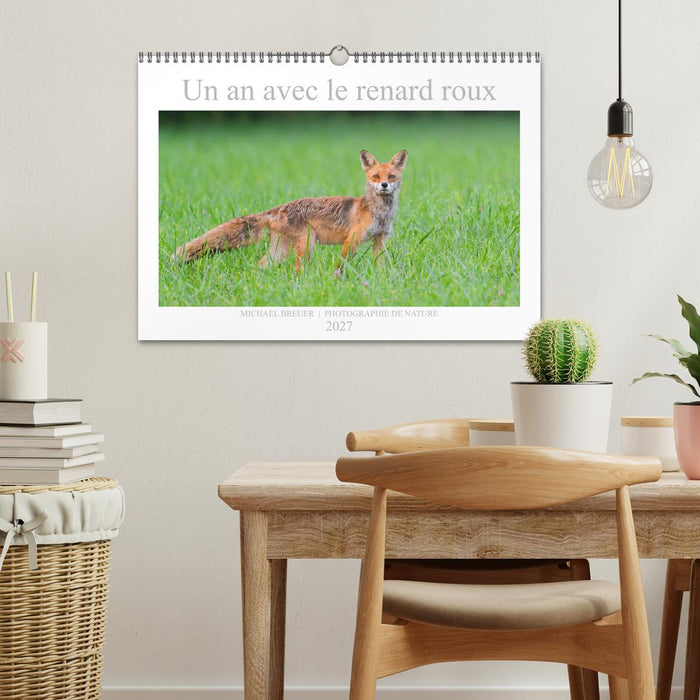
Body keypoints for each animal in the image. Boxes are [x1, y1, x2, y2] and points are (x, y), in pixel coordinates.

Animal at [175, 149, 408, 271]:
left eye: (391, 176)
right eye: (375, 176)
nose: (384, 185)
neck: (379, 213)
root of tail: (277, 208)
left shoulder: (379, 240)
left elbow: (381, 265)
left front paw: (382, 281)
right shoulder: (352, 239)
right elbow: (341, 265)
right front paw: (338, 280)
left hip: (279, 251)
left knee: (259, 266)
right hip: (307, 245)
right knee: (296, 270)